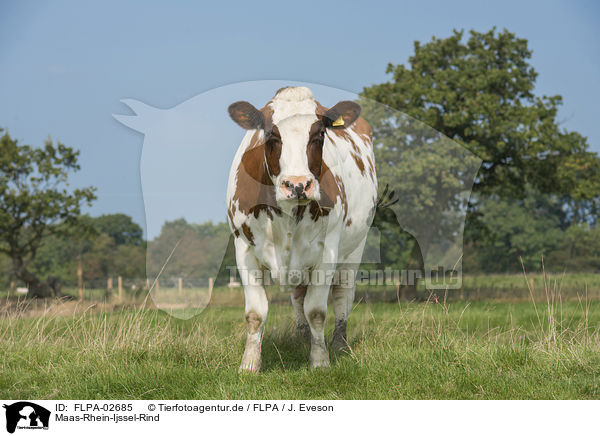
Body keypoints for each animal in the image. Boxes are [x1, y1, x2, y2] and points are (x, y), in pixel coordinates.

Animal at [227, 87, 378, 372]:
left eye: (319, 134)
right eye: (271, 134)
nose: (297, 184)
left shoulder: (327, 252)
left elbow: (317, 311)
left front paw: (320, 360)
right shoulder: (244, 249)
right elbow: (255, 313)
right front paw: (249, 364)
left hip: (355, 246)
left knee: (342, 294)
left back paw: (339, 344)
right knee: (298, 295)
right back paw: (302, 338)